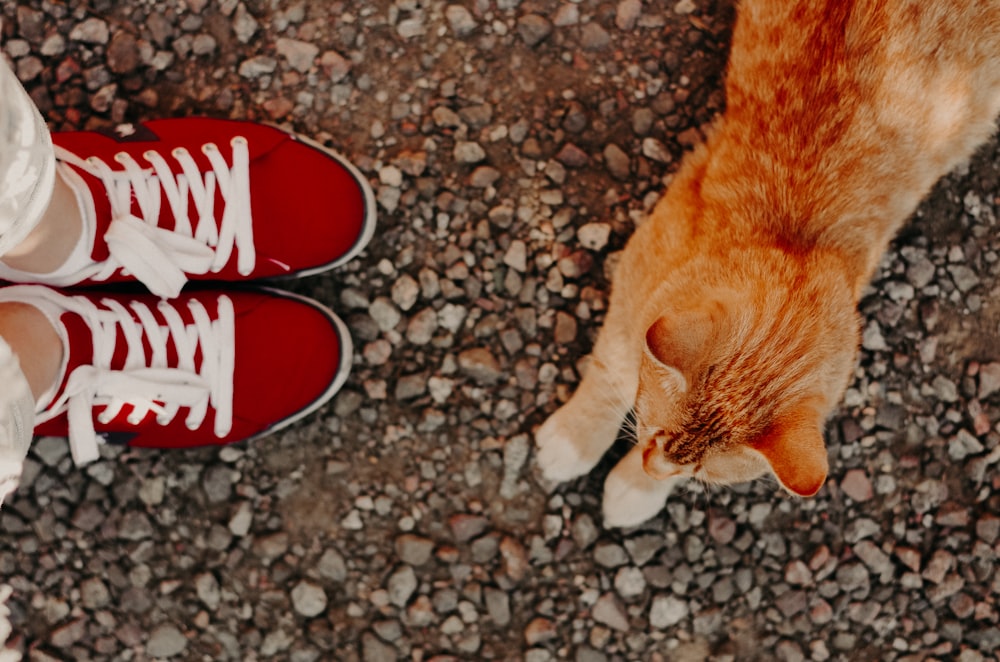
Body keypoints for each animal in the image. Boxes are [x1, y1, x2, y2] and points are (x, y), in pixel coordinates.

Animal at [540, 0, 1000, 528]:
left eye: (698, 473)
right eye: (654, 431)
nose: (652, 468)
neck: (796, 242)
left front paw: (636, 487)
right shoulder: (639, 273)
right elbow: (614, 369)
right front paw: (573, 442)